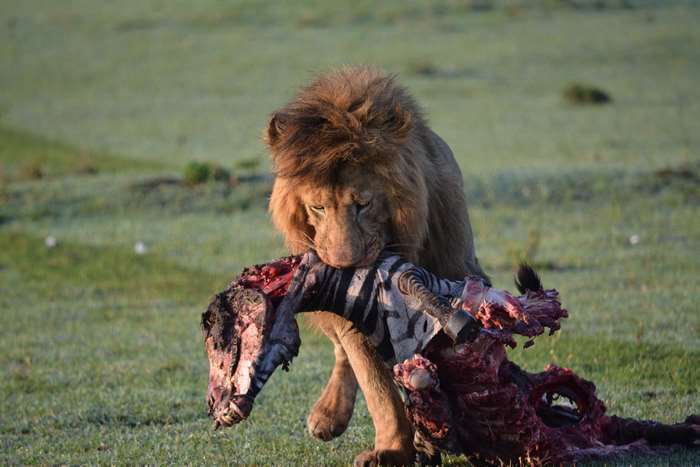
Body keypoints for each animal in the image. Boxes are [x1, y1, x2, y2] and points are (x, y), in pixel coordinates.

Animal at [264, 66, 488, 465]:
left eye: (363, 204)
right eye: (318, 207)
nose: (344, 266)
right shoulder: (353, 312)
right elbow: (376, 386)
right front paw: (393, 449)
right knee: (344, 353)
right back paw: (328, 415)